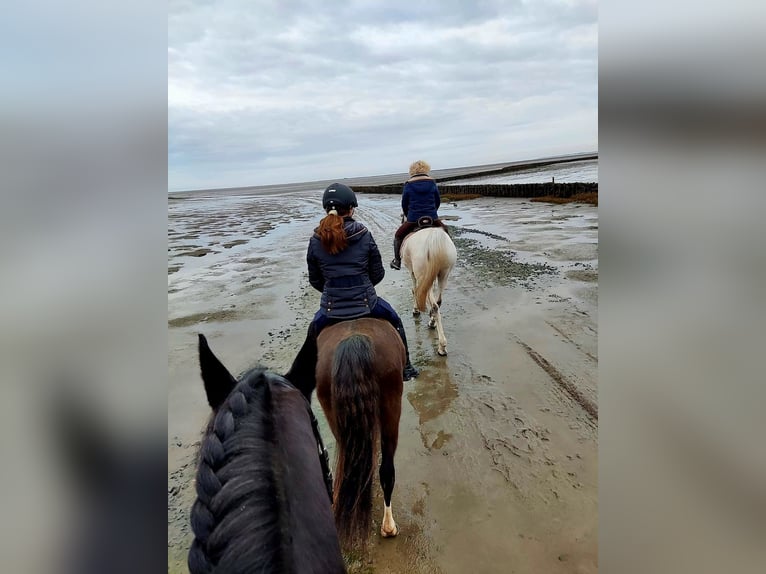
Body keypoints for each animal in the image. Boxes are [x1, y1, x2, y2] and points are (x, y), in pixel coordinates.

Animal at [402, 224, 456, 356]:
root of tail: (434, 237)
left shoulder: (412, 272)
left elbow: (414, 290)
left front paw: (416, 310)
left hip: (424, 275)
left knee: (433, 304)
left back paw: (441, 347)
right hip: (444, 274)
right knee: (438, 302)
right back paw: (432, 323)